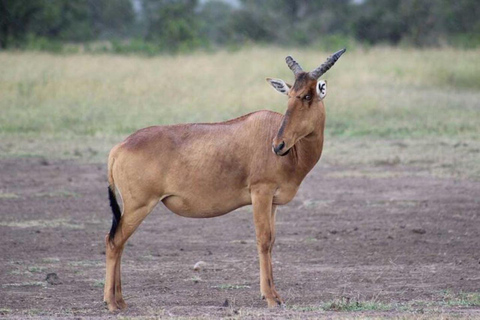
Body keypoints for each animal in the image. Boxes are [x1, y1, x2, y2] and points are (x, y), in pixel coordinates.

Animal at [104, 48, 344, 312]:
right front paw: (270, 298)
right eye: (290, 96)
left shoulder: (272, 202)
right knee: (114, 241)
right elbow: (263, 240)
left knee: (119, 242)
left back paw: (121, 301)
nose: (278, 145)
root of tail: (118, 148)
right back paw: (112, 303)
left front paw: (277, 295)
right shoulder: (260, 193)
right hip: (139, 205)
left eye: (308, 95)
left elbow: (271, 241)